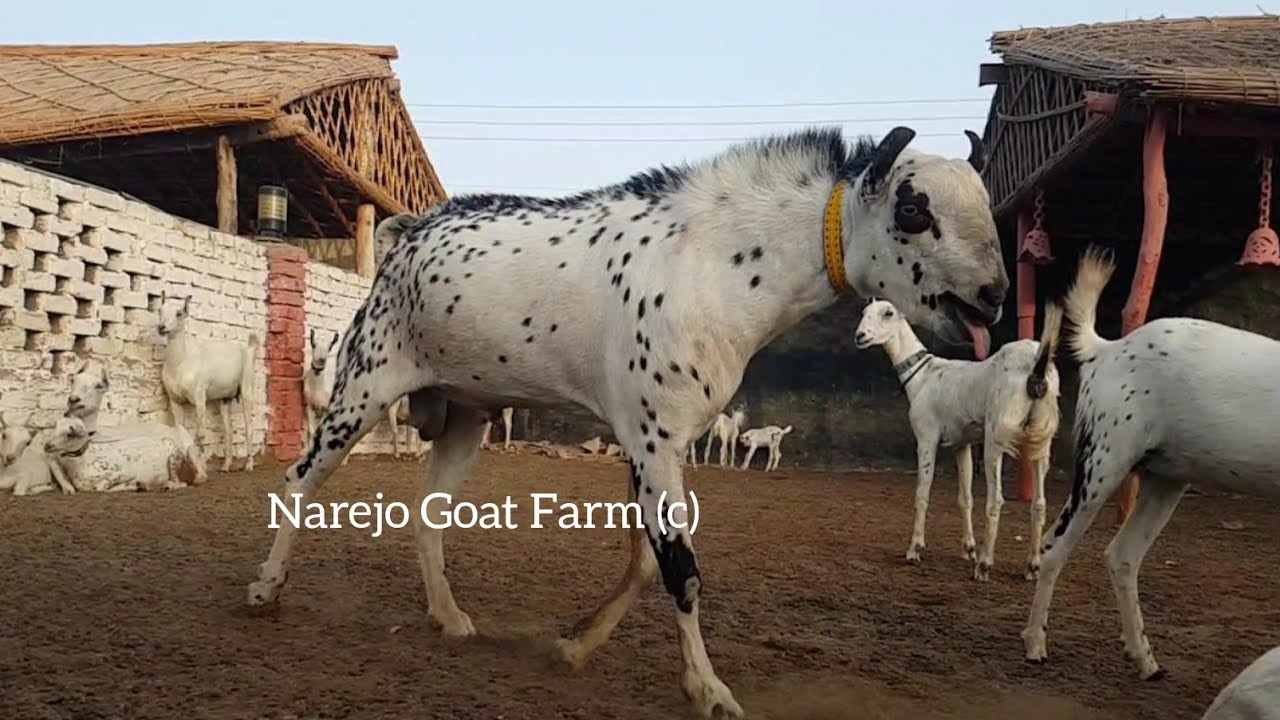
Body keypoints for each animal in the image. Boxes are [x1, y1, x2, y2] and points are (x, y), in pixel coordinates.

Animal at [156, 292, 258, 472]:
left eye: (179, 313)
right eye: (159, 310)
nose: (161, 327)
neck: (180, 362)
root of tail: (249, 349)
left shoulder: (199, 398)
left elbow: (200, 434)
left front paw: (202, 465)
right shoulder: (174, 400)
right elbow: (180, 431)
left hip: (247, 388)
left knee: (249, 427)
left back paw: (249, 464)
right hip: (225, 399)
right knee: (228, 430)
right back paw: (226, 466)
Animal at [245, 125, 1008, 719]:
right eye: (913, 208)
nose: (993, 296)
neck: (713, 266)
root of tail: (406, 234)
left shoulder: (654, 446)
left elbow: (646, 562)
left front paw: (574, 644)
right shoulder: (651, 440)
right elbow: (680, 569)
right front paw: (707, 689)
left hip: (468, 415)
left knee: (429, 513)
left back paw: (450, 617)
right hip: (363, 387)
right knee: (299, 482)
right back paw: (265, 588)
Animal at [856, 297, 1061, 580]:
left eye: (888, 313)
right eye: (864, 312)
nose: (860, 336)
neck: (924, 375)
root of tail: (1038, 366)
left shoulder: (926, 438)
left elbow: (922, 494)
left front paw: (914, 549)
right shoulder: (961, 444)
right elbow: (965, 499)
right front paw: (968, 549)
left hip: (996, 437)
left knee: (996, 500)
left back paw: (984, 566)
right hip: (1041, 438)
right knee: (1039, 503)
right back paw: (1032, 566)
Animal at [1023, 246, 1280, 679]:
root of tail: (1107, 349)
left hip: (1166, 478)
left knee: (1122, 556)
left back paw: (1145, 660)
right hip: (1102, 462)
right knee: (1054, 547)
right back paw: (1036, 645)